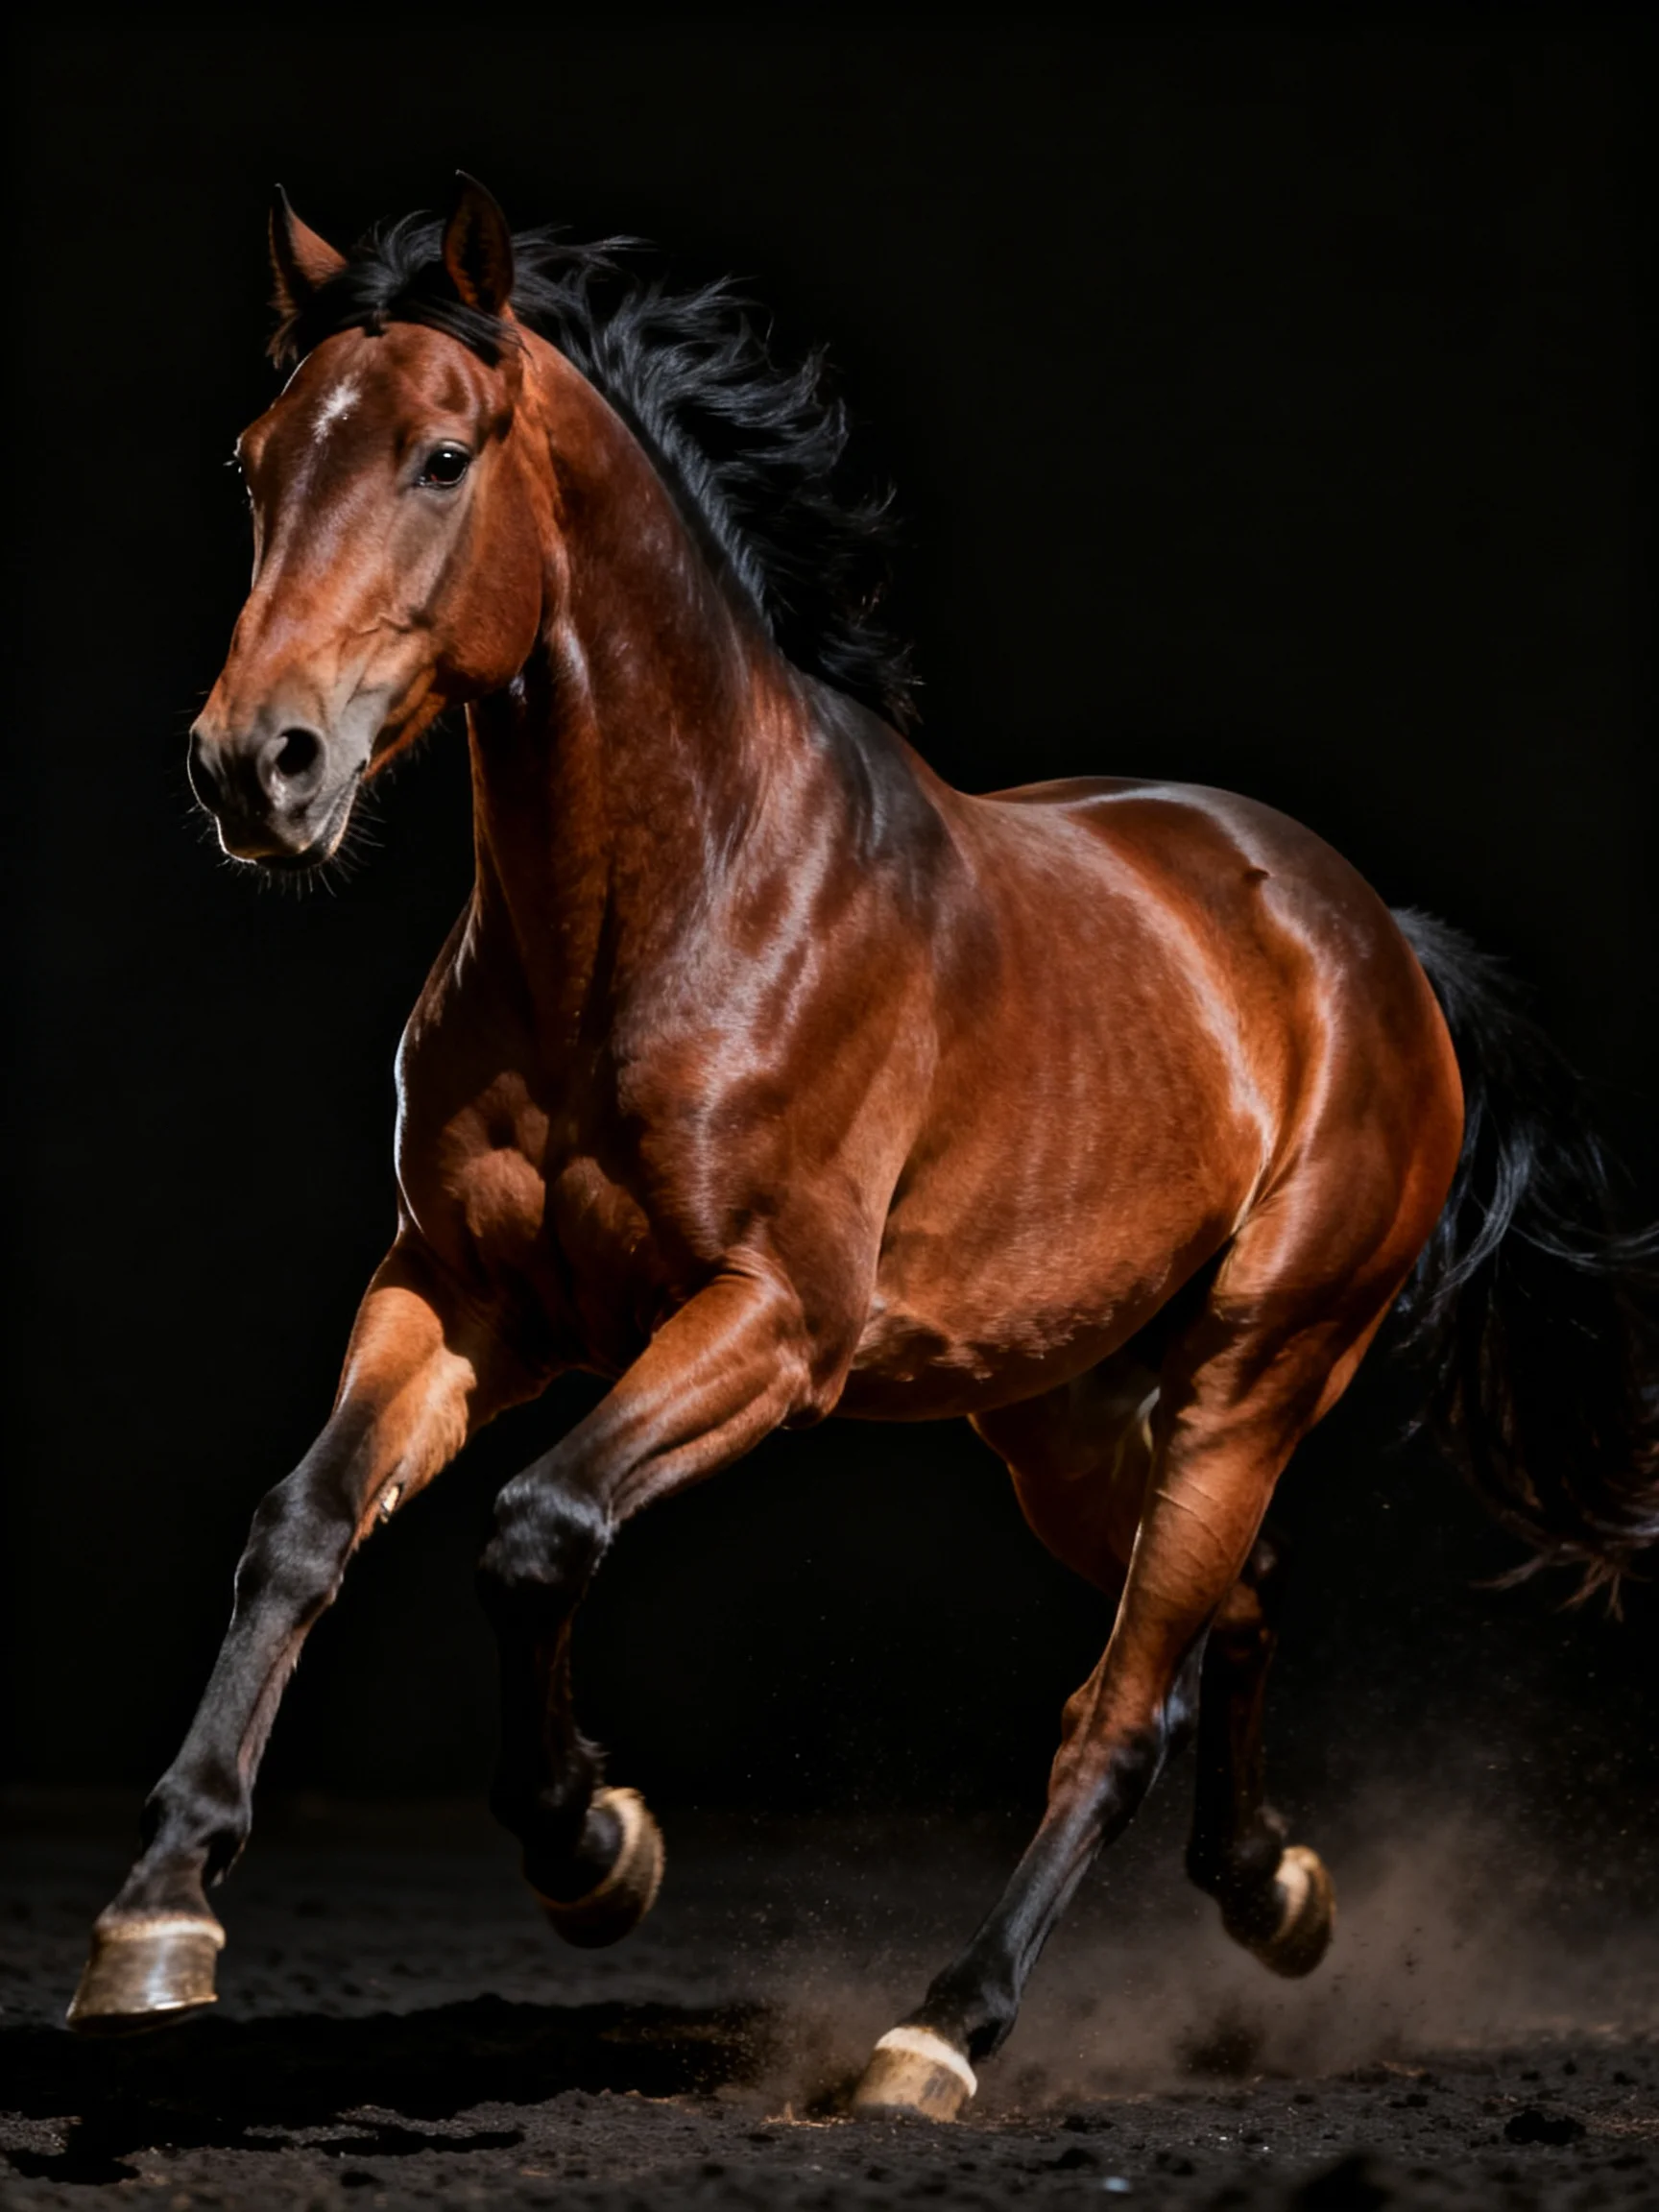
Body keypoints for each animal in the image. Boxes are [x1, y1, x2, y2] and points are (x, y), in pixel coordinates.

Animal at [68, 176, 1658, 2119]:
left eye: (442, 457)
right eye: (254, 459)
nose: (257, 766)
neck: (673, 909)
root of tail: (1373, 941)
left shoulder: (774, 1325)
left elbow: (537, 1530)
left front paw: (596, 1844)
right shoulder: (454, 1290)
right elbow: (300, 1525)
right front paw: (159, 1913)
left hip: (1254, 1374)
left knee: (1117, 1710)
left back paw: (938, 2031)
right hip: (1058, 1416)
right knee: (1232, 1614)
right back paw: (1273, 1890)